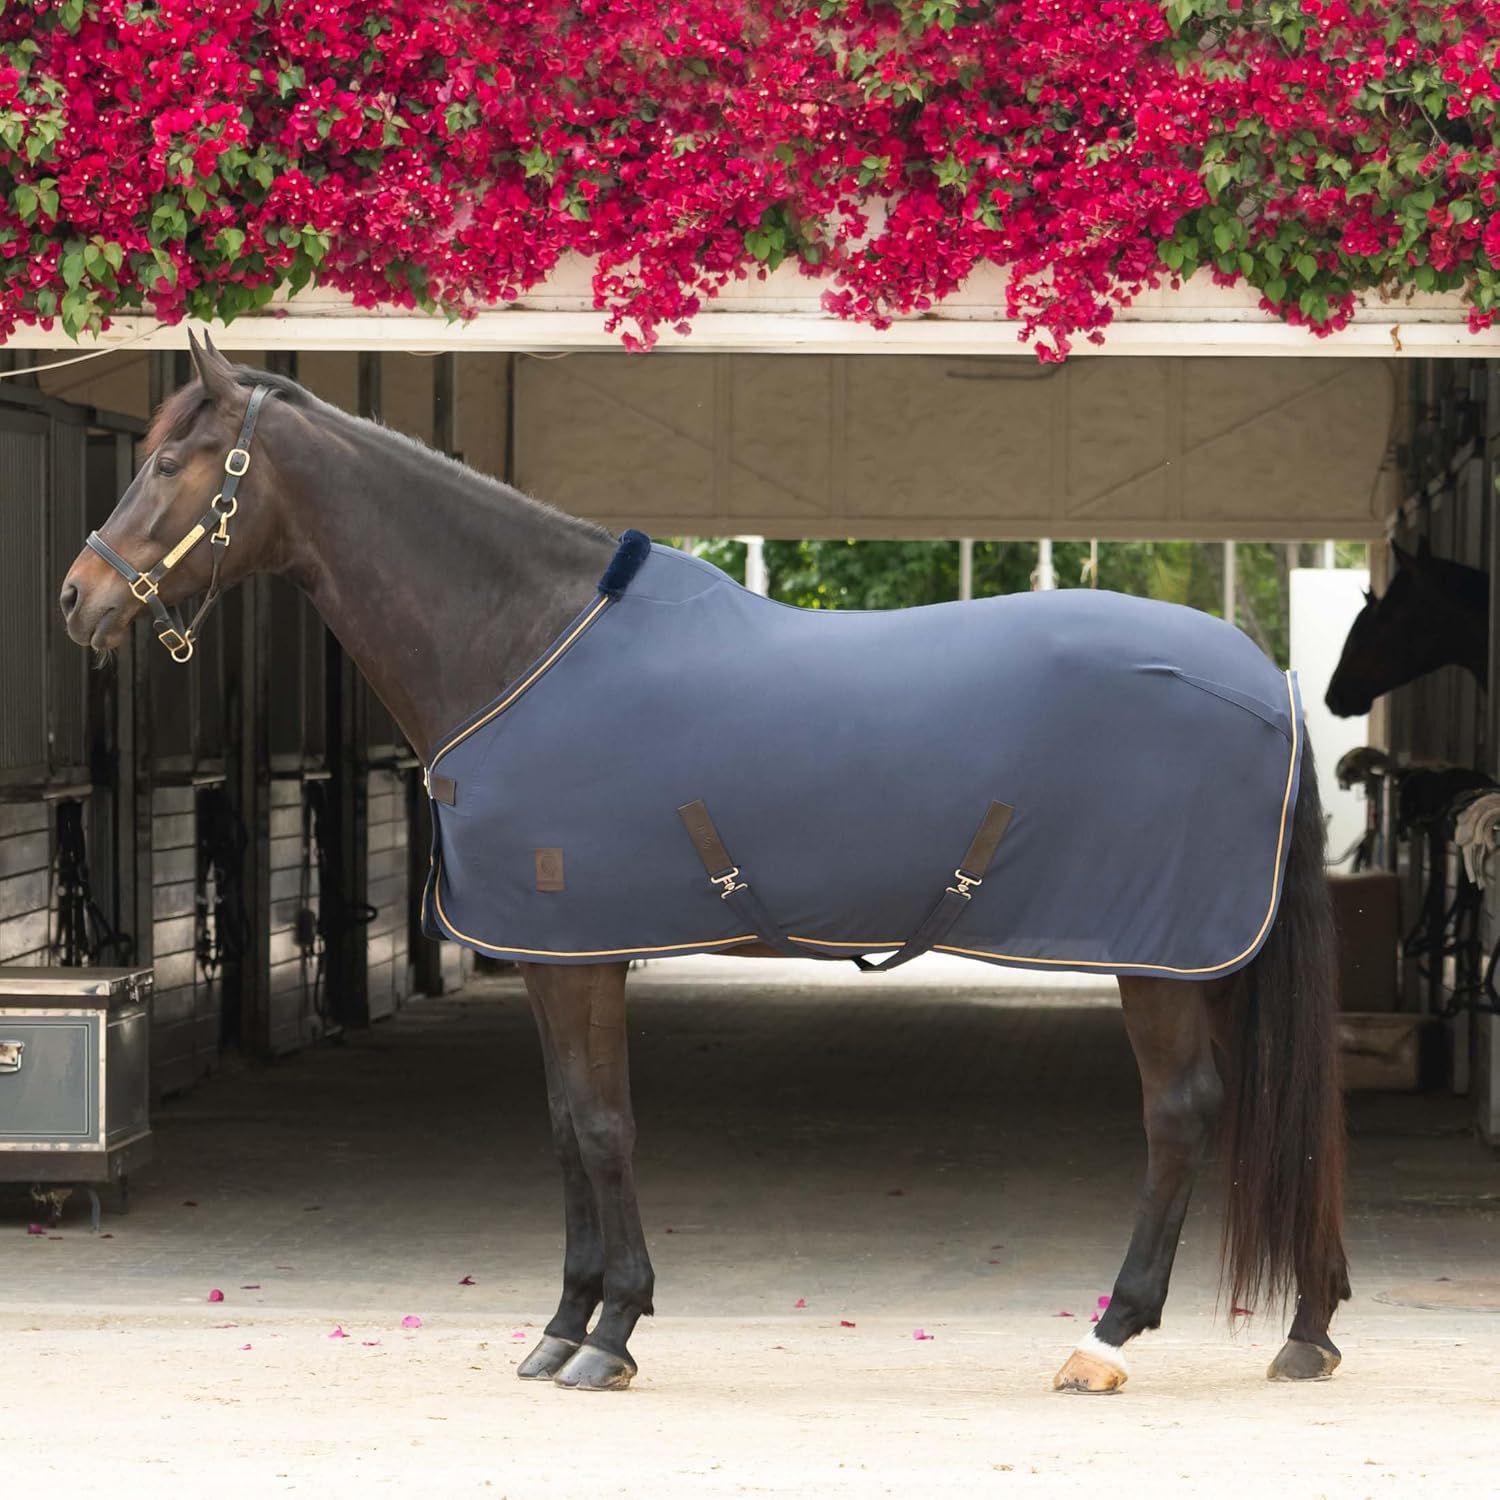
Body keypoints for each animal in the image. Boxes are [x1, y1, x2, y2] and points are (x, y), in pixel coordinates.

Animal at [59, 334, 1348, 1395]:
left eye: (172, 463)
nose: (76, 599)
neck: (524, 645)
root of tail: (1265, 681)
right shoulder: (548, 957)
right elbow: (564, 1128)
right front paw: (564, 1325)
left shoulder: (581, 954)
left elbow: (601, 1126)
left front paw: (611, 1332)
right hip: (1198, 964)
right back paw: (1310, 1327)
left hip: (1162, 961)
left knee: (1182, 1116)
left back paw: (1109, 1336)